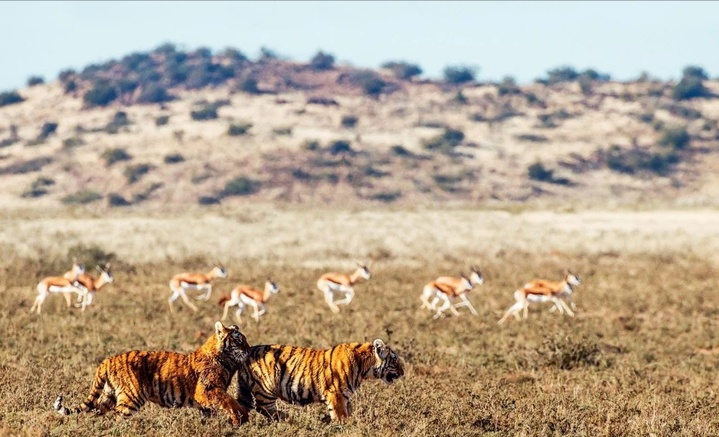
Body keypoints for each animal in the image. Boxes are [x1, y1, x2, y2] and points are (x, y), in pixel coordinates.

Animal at [54, 322, 250, 424]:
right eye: (239, 340)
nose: (249, 350)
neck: (227, 361)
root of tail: (107, 360)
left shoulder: (206, 401)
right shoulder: (207, 390)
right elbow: (229, 401)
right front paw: (241, 418)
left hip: (108, 396)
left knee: (96, 412)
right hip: (131, 398)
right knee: (118, 417)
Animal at [236, 336, 404, 420]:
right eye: (395, 361)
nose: (403, 373)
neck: (364, 367)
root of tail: (248, 351)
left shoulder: (345, 397)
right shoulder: (336, 395)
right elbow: (341, 417)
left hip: (247, 391)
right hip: (265, 390)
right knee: (263, 408)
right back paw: (288, 419)